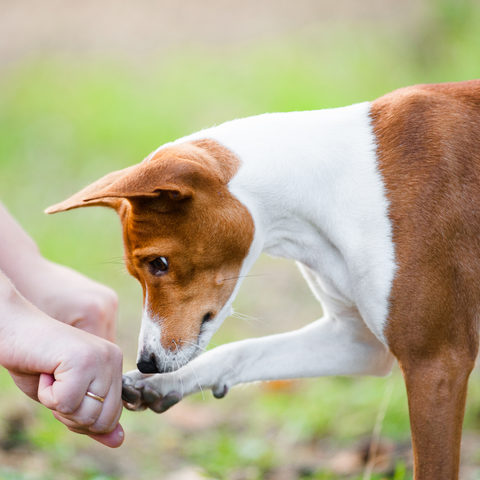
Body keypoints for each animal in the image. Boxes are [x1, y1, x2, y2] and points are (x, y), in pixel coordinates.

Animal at [47, 80, 480, 478]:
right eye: (141, 271)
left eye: (159, 263)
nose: (147, 362)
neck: (332, 185)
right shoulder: (359, 343)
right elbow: (242, 352)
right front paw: (168, 383)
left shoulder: (436, 363)